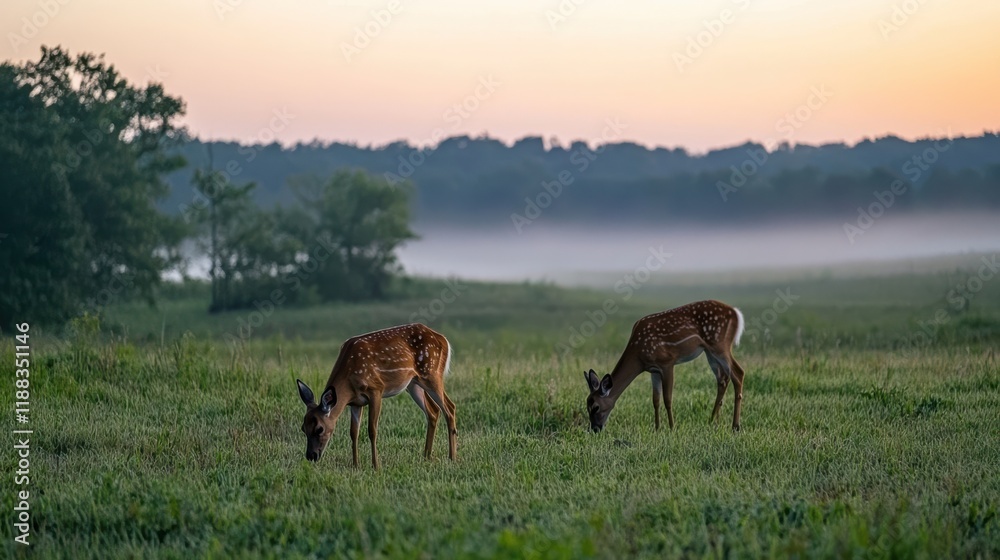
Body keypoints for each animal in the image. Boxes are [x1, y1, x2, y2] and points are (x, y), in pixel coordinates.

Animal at [295, 323, 457, 469]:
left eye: (319, 429)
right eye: (303, 428)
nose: (311, 456)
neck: (349, 381)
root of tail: (443, 339)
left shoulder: (376, 390)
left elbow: (372, 430)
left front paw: (375, 465)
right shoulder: (356, 402)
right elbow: (353, 432)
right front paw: (355, 465)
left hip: (431, 373)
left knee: (449, 407)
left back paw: (452, 457)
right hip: (413, 384)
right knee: (433, 411)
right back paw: (427, 456)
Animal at [584, 299, 746, 433]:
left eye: (596, 407)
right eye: (587, 406)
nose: (594, 429)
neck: (638, 355)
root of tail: (736, 313)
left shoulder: (667, 362)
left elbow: (668, 398)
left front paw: (672, 428)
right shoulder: (653, 370)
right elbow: (655, 400)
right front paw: (657, 428)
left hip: (720, 344)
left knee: (738, 373)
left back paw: (735, 426)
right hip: (710, 352)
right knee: (723, 379)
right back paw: (713, 421)